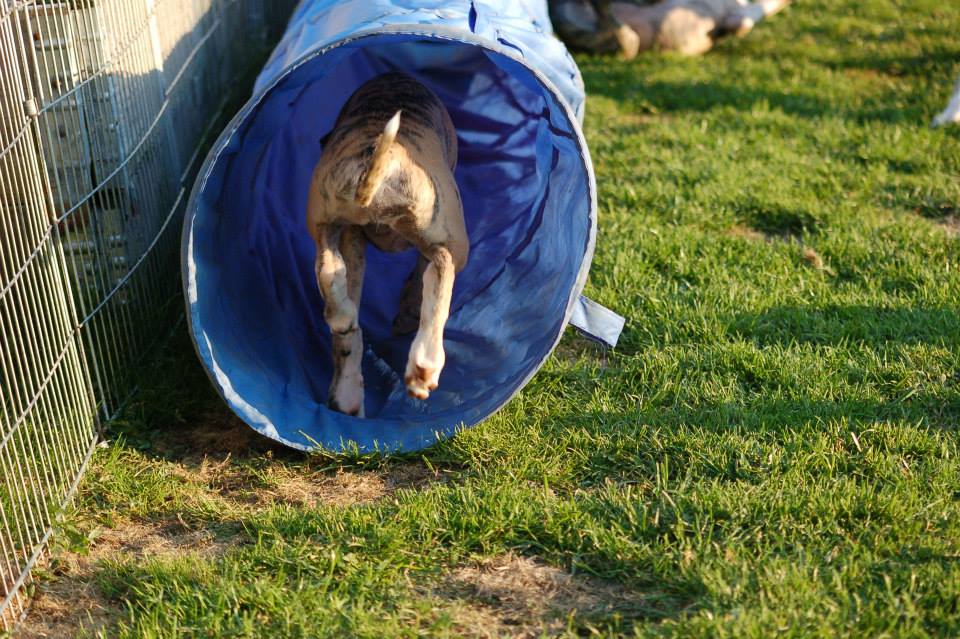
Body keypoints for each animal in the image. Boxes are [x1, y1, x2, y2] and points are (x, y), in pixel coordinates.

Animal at [306, 73, 468, 417]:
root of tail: (387, 156)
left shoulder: (353, 237)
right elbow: (421, 280)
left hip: (326, 217)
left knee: (329, 268)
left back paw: (343, 326)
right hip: (451, 237)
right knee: (440, 278)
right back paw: (424, 365)